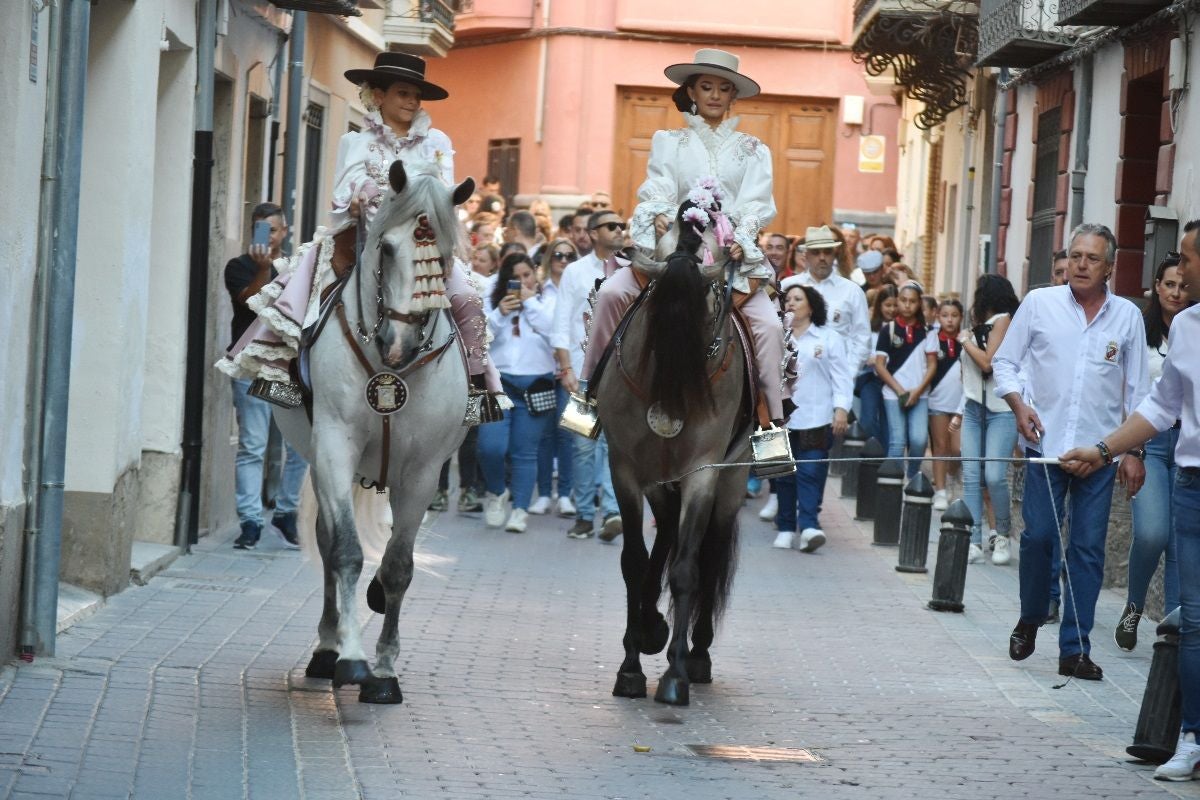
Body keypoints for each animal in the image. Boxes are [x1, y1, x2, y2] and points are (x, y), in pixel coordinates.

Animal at [274, 159, 475, 705]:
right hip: (321, 464)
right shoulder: (333, 448)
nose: (397, 344)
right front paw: (353, 659)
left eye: (444, 257)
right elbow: (345, 552)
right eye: (385, 248)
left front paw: (384, 672)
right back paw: (326, 649)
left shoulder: (423, 472)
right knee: (327, 542)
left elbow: (399, 567)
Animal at [597, 208, 753, 705]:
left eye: (705, 302)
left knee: (710, 551)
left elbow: (687, 570)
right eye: (652, 303)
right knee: (664, 530)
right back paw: (652, 628)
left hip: (730, 479)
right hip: (658, 478)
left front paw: (675, 675)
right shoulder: (625, 470)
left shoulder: (703, 473)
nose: (667, 414)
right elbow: (633, 561)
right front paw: (630, 666)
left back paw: (696, 654)